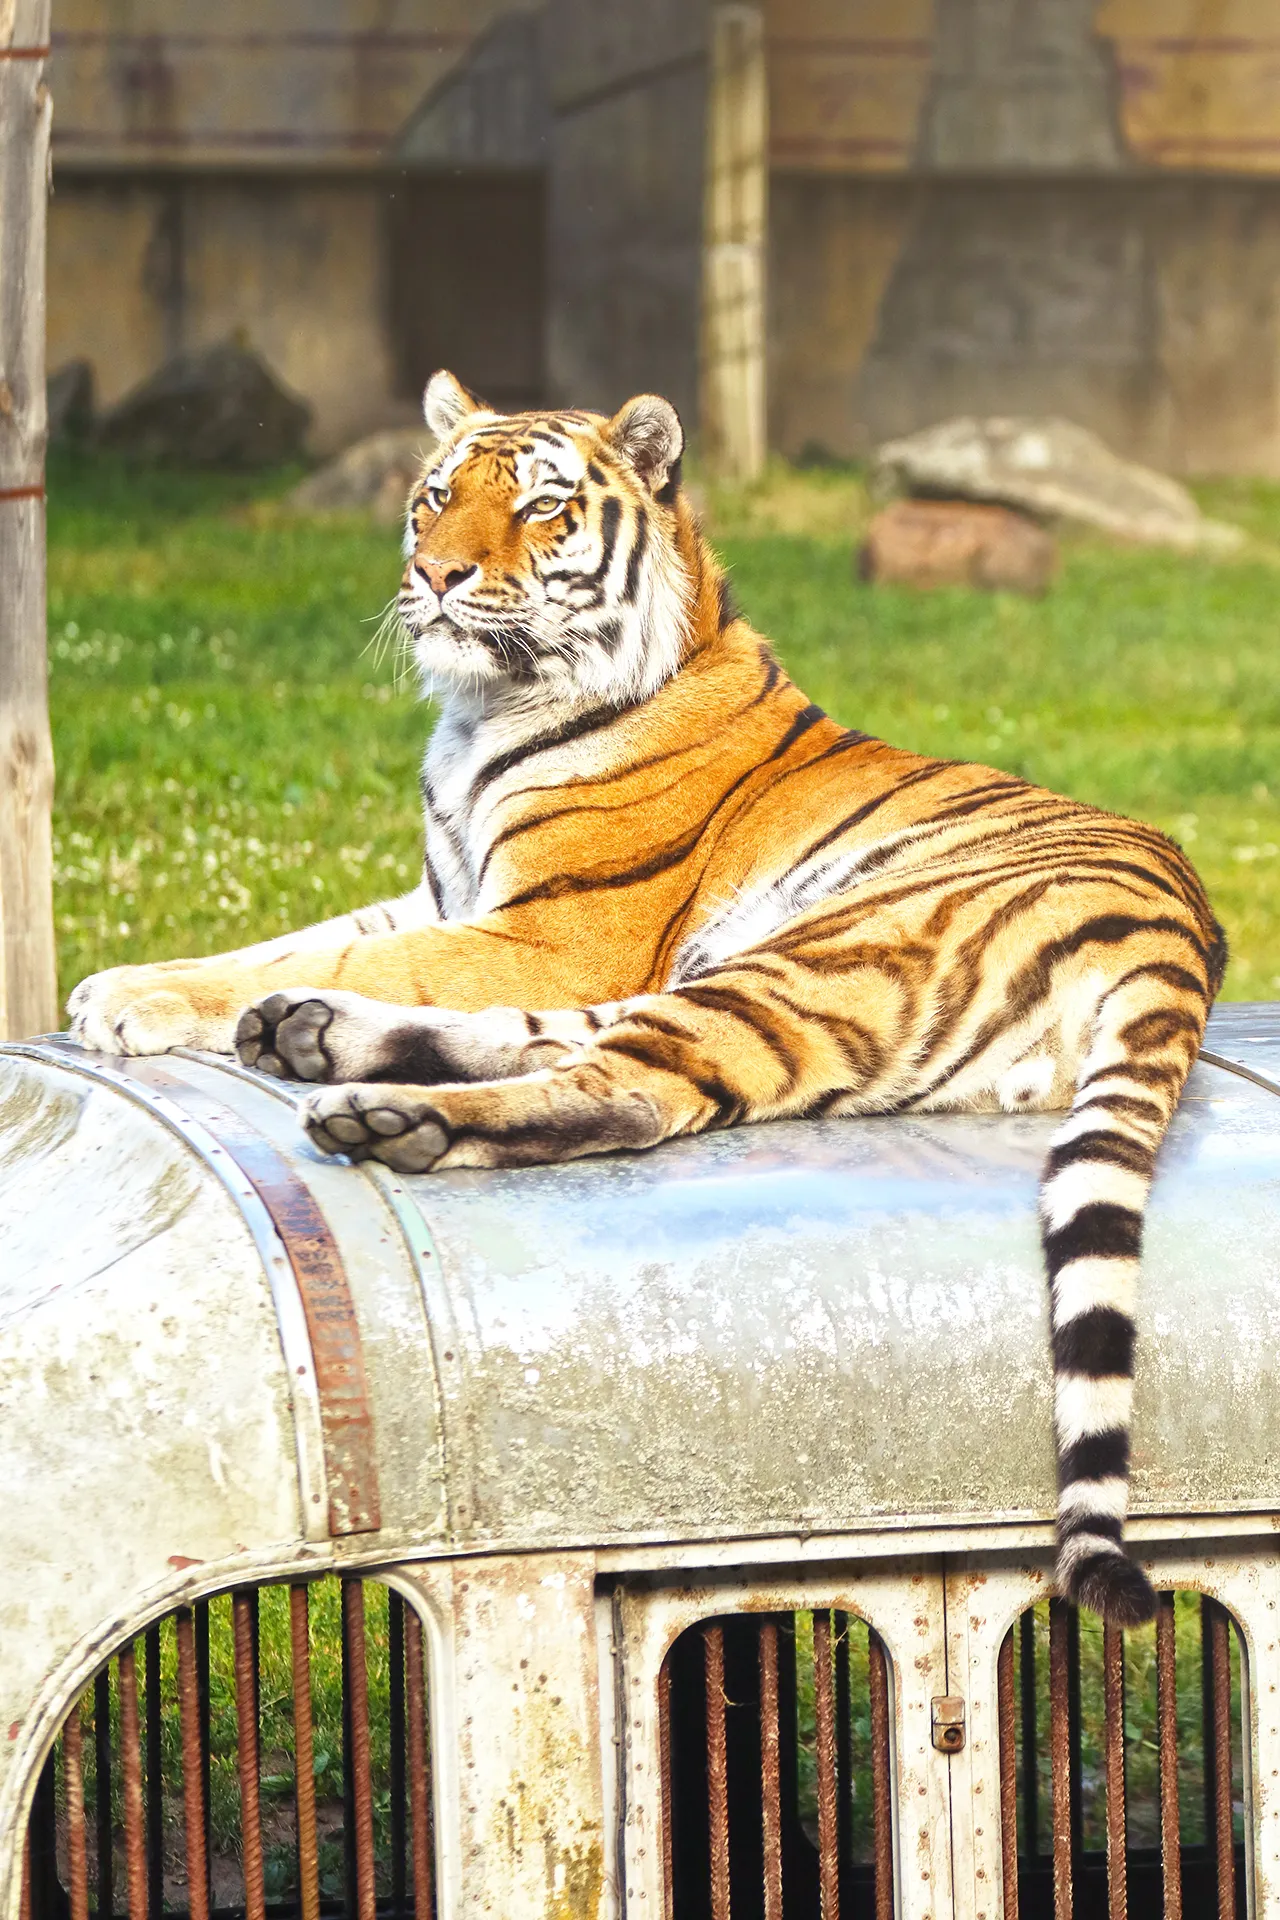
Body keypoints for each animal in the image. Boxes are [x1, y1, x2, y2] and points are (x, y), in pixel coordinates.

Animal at [69, 367, 1227, 1626]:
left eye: (538, 508)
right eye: (434, 497)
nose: (437, 575)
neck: (480, 713)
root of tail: (1178, 943)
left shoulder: (553, 932)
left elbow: (340, 956)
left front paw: (120, 995)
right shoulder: (442, 898)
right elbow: (293, 943)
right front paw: (175, 986)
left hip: (806, 954)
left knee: (626, 1095)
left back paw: (382, 1115)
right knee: (560, 1051)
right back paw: (311, 1038)